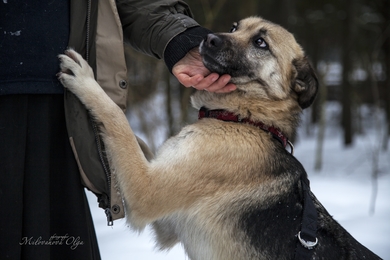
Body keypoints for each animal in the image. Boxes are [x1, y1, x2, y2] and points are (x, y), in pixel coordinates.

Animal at [58, 16, 380, 260]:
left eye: (260, 43)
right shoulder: (165, 218)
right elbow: (138, 140)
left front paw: (86, 81)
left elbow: (117, 120)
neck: (247, 119)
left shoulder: (145, 192)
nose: (209, 38)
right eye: (235, 26)